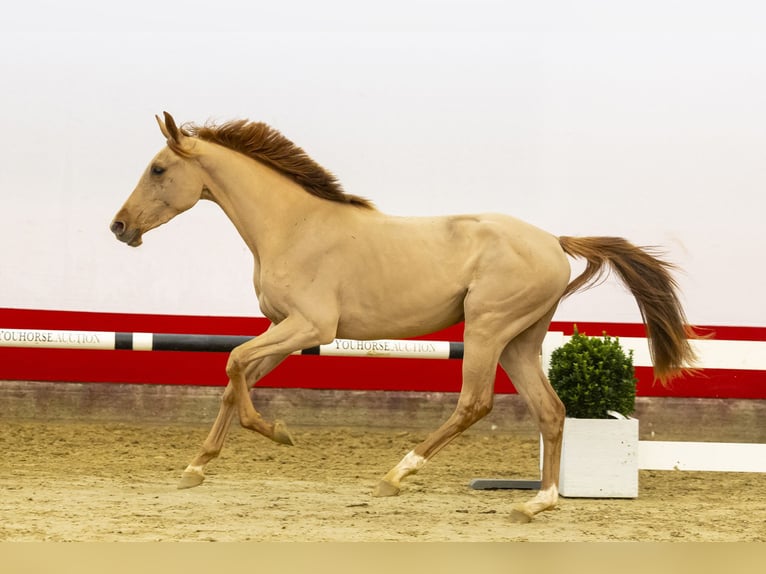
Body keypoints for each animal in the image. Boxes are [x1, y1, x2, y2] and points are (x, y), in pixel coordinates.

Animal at [111, 112, 700, 528]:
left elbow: (234, 364)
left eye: (158, 169)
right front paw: (196, 467)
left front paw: (278, 434)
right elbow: (237, 380)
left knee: (475, 403)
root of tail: (555, 241)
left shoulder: (310, 327)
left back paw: (397, 474)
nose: (118, 227)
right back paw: (537, 504)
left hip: (486, 330)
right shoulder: (282, 330)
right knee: (551, 412)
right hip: (519, 341)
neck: (293, 225)